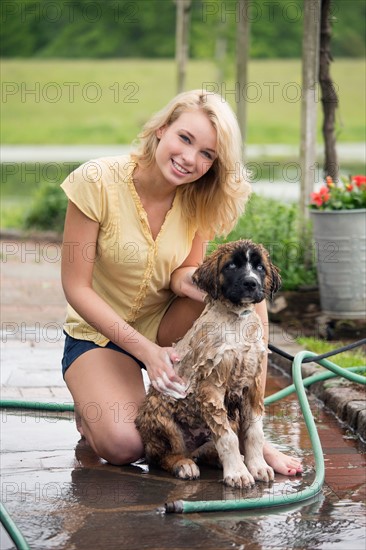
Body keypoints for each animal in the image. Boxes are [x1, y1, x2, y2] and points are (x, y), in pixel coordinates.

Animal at [136, 239, 282, 490]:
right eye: (231, 266)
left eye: (260, 267)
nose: (251, 283)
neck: (236, 320)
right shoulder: (211, 386)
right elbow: (227, 438)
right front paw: (238, 473)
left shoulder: (252, 385)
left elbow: (254, 432)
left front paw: (257, 466)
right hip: (163, 418)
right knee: (162, 456)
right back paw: (184, 464)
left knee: (205, 450)